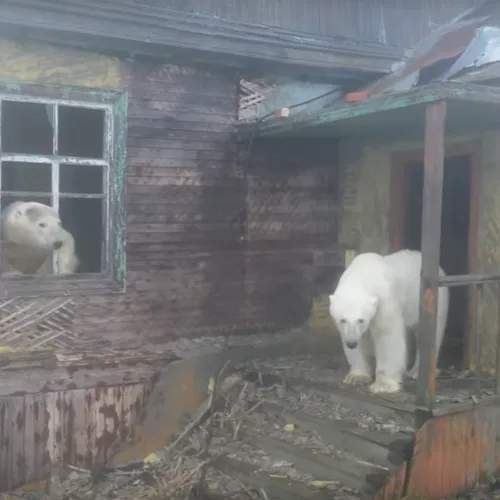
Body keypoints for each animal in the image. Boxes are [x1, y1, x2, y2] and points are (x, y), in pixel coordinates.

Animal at [328, 250, 450, 394]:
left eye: (361, 320)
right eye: (342, 320)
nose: (351, 343)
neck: (364, 273)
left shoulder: (384, 301)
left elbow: (387, 337)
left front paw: (383, 385)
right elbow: (361, 340)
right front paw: (356, 377)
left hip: (431, 298)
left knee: (429, 334)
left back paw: (415, 372)